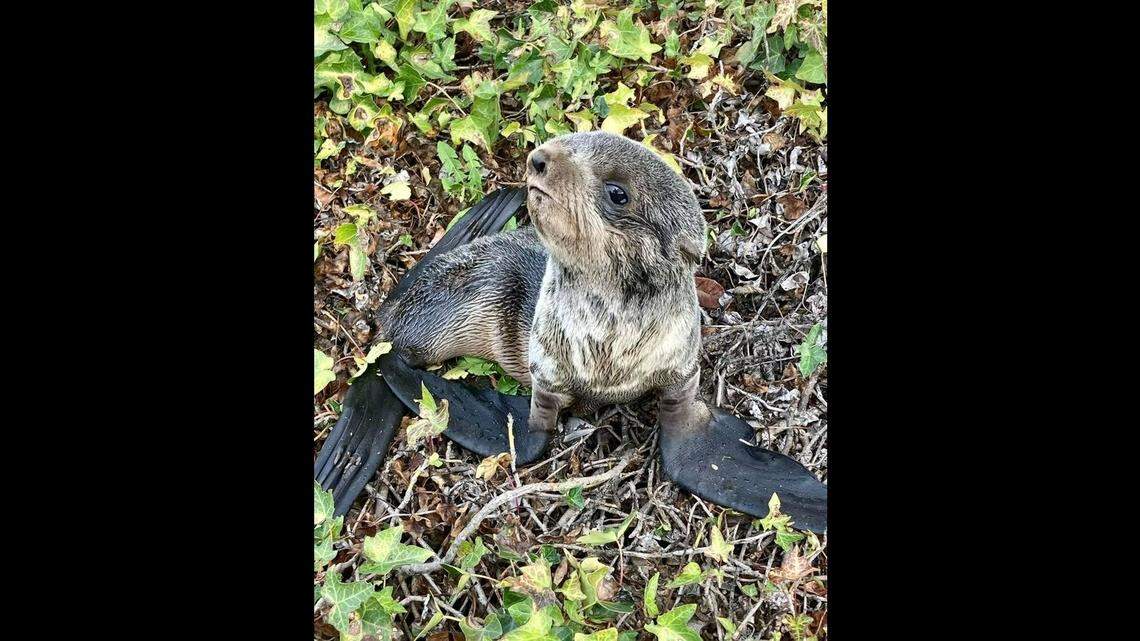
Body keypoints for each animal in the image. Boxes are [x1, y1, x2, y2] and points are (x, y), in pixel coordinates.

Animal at [315, 132, 826, 532]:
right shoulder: (546, 369)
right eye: (569, 139)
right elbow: (532, 433)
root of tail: (388, 317)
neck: (609, 347)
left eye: (617, 192)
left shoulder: (681, 369)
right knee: (391, 359)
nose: (538, 158)